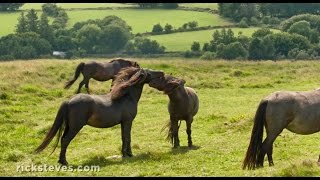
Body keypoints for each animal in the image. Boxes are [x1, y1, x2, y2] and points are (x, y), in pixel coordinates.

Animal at [34, 67, 164, 165]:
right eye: (149, 72)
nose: (162, 73)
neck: (125, 97)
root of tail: (69, 101)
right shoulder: (128, 121)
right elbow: (127, 138)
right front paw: (129, 154)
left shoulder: (123, 123)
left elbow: (124, 138)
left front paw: (125, 154)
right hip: (75, 127)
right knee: (66, 140)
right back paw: (64, 162)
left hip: (69, 126)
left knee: (62, 140)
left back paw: (61, 161)